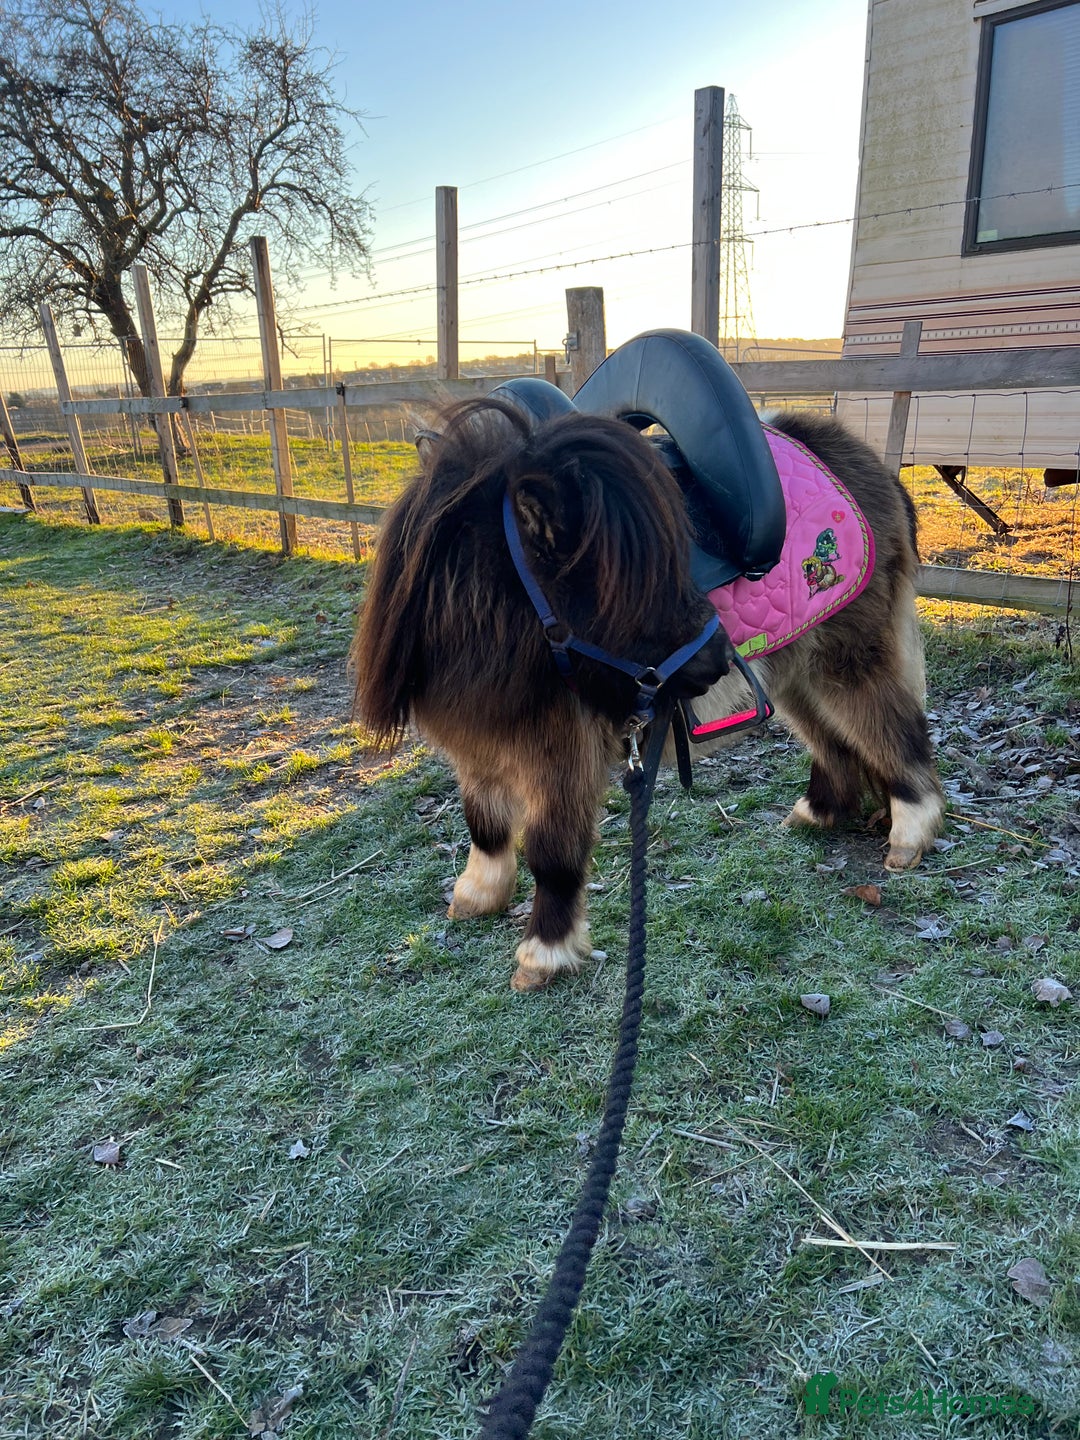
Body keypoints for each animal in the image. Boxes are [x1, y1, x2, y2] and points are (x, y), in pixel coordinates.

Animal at [350, 341, 944, 994]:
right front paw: (476, 896)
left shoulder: (561, 755)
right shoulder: (480, 747)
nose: (716, 659)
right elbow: (484, 823)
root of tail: (866, 466)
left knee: (894, 733)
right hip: (795, 671)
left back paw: (909, 834)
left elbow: (552, 854)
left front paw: (544, 954)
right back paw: (818, 814)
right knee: (835, 742)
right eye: (629, 583)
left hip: (848, 660)